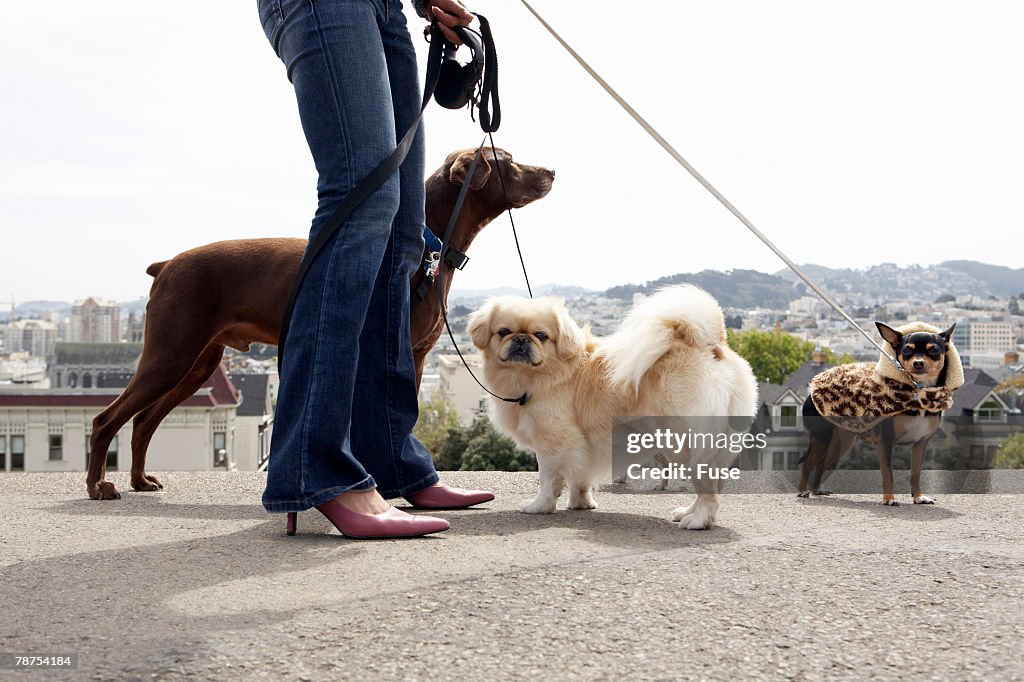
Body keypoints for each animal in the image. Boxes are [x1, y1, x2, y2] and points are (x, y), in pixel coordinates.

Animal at [84, 148, 557, 497]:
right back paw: (98, 485)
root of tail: (166, 265)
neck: (425, 247)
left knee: (142, 422)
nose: (551, 170)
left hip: (198, 365)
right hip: (170, 353)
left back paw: (139, 480)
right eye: (509, 159)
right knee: (106, 419)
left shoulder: (417, 357)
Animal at [468, 284, 757, 528]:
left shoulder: (553, 442)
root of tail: (713, 346)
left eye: (541, 335)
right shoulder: (583, 444)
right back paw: (687, 513)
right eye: (503, 332)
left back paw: (696, 521)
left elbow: (548, 480)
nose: (520, 339)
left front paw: (539, 506)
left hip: (683, 442)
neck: (544, 374)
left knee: (707, 491)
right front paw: (581, 504)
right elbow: (580, 478)